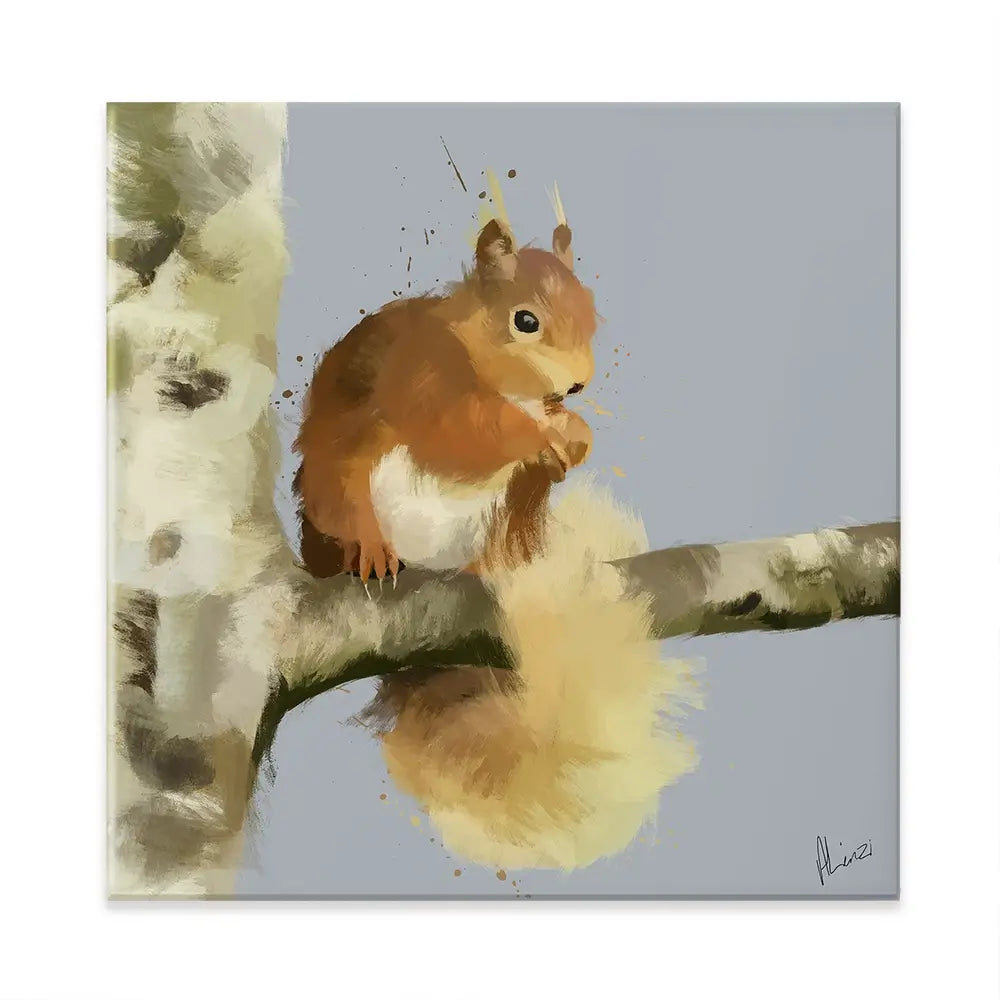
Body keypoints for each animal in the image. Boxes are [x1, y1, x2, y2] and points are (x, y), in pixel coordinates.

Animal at [293, 212, 597, 583]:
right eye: (526, 320)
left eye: (591, 310)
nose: (579, 383)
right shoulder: (424, 380)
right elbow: (463, 433)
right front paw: (541, 435)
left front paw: (578, 436)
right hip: (339, 489)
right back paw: (372, 553)